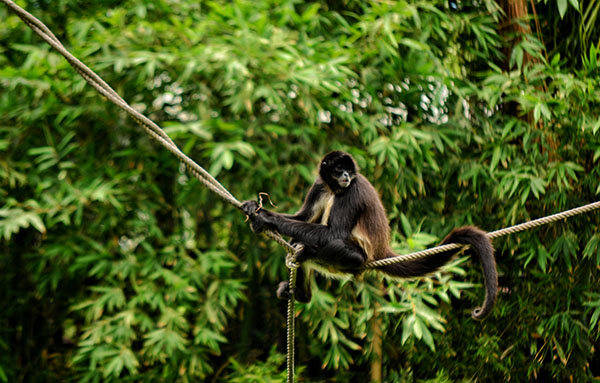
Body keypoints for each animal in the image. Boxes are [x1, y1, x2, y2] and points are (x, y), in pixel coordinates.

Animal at [243, 152, 496, 320]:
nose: (346, 175)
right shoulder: (320, 185)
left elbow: (333, 234)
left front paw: (265, 218)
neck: (335, 188)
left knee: (328, 245)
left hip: (357, 258)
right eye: (338, 169)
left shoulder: (352, 190)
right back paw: (303, 290)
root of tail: (381, 249)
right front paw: (255, 208)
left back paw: (307, 254)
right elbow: (303, 216)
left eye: (347, 170)